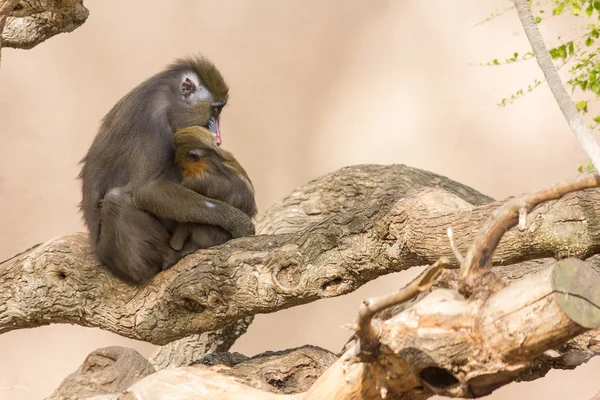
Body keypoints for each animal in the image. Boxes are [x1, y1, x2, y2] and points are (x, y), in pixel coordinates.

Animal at [78, 56, 254, 284]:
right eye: (214, 110)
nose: (217, 137)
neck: (169, 100)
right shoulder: (153, 124)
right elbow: (148, 189)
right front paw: (237, 221)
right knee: (116, 199)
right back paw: (169, 258)